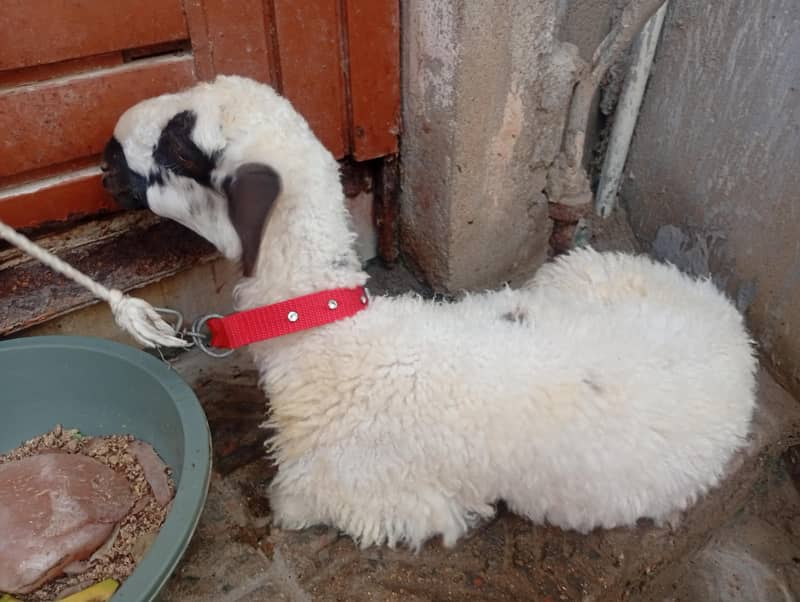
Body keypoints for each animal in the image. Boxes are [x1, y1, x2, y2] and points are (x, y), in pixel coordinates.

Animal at [101, 75, 757, 550]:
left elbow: (297, 504)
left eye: (180, 144)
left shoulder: (375, 496)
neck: (328, 337)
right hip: (578, 273)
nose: (106, 152)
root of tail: (728, 319)